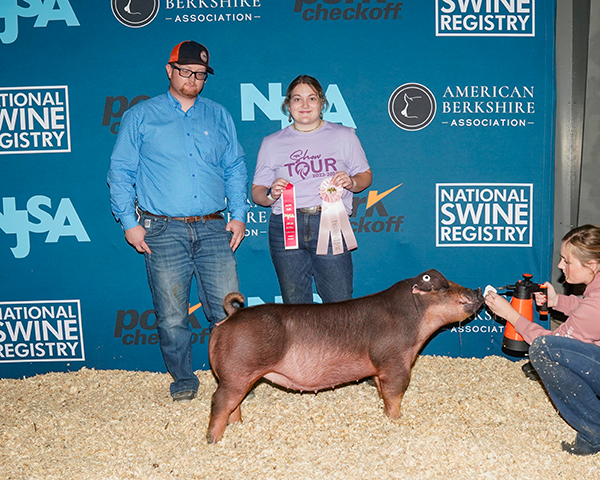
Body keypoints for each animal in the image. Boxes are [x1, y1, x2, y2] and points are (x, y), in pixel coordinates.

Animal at [207, 269, 483, 443]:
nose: (479, 289)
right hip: (237, 371)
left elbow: (383, 390)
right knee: (219, 401)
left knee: (234, 404)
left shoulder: (380, 369)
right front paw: (396, 419)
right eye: (443, 288)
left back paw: (237, 425)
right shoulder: (395, 361)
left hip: (239, 376)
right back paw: (213, 440)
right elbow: (396, 391)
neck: (414, 320)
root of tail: (231, 316)